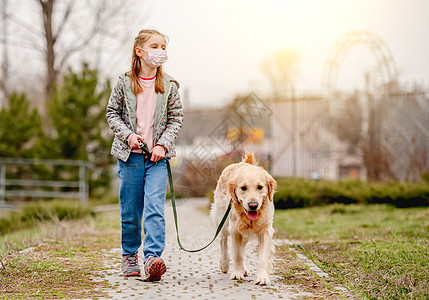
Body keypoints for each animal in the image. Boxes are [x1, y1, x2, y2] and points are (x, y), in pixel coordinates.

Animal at [210, 151, 276, 284]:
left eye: (260, 187)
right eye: (243, 188)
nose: (253, 205)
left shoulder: (265, 230)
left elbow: (262, 257)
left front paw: (262, 277)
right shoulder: (235, 229)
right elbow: (237, 254)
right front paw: (237, 273)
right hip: (223, 221)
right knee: (223, 240)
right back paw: (224, 264)